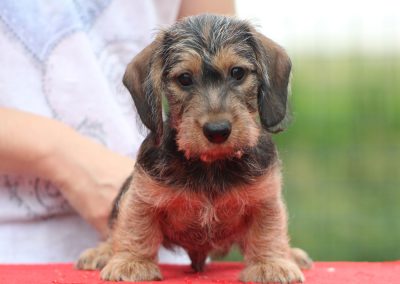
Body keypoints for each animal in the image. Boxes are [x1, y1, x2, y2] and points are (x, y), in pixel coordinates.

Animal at [75, 14, 312, 282]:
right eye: (185, 79)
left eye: (237, 73)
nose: (217, 130)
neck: (210, 164)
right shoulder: (141, 195)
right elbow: (136, 228)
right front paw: (132, 262)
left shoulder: (265, 198)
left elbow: (268, 231)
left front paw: (270, 264)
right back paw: (102, 252)